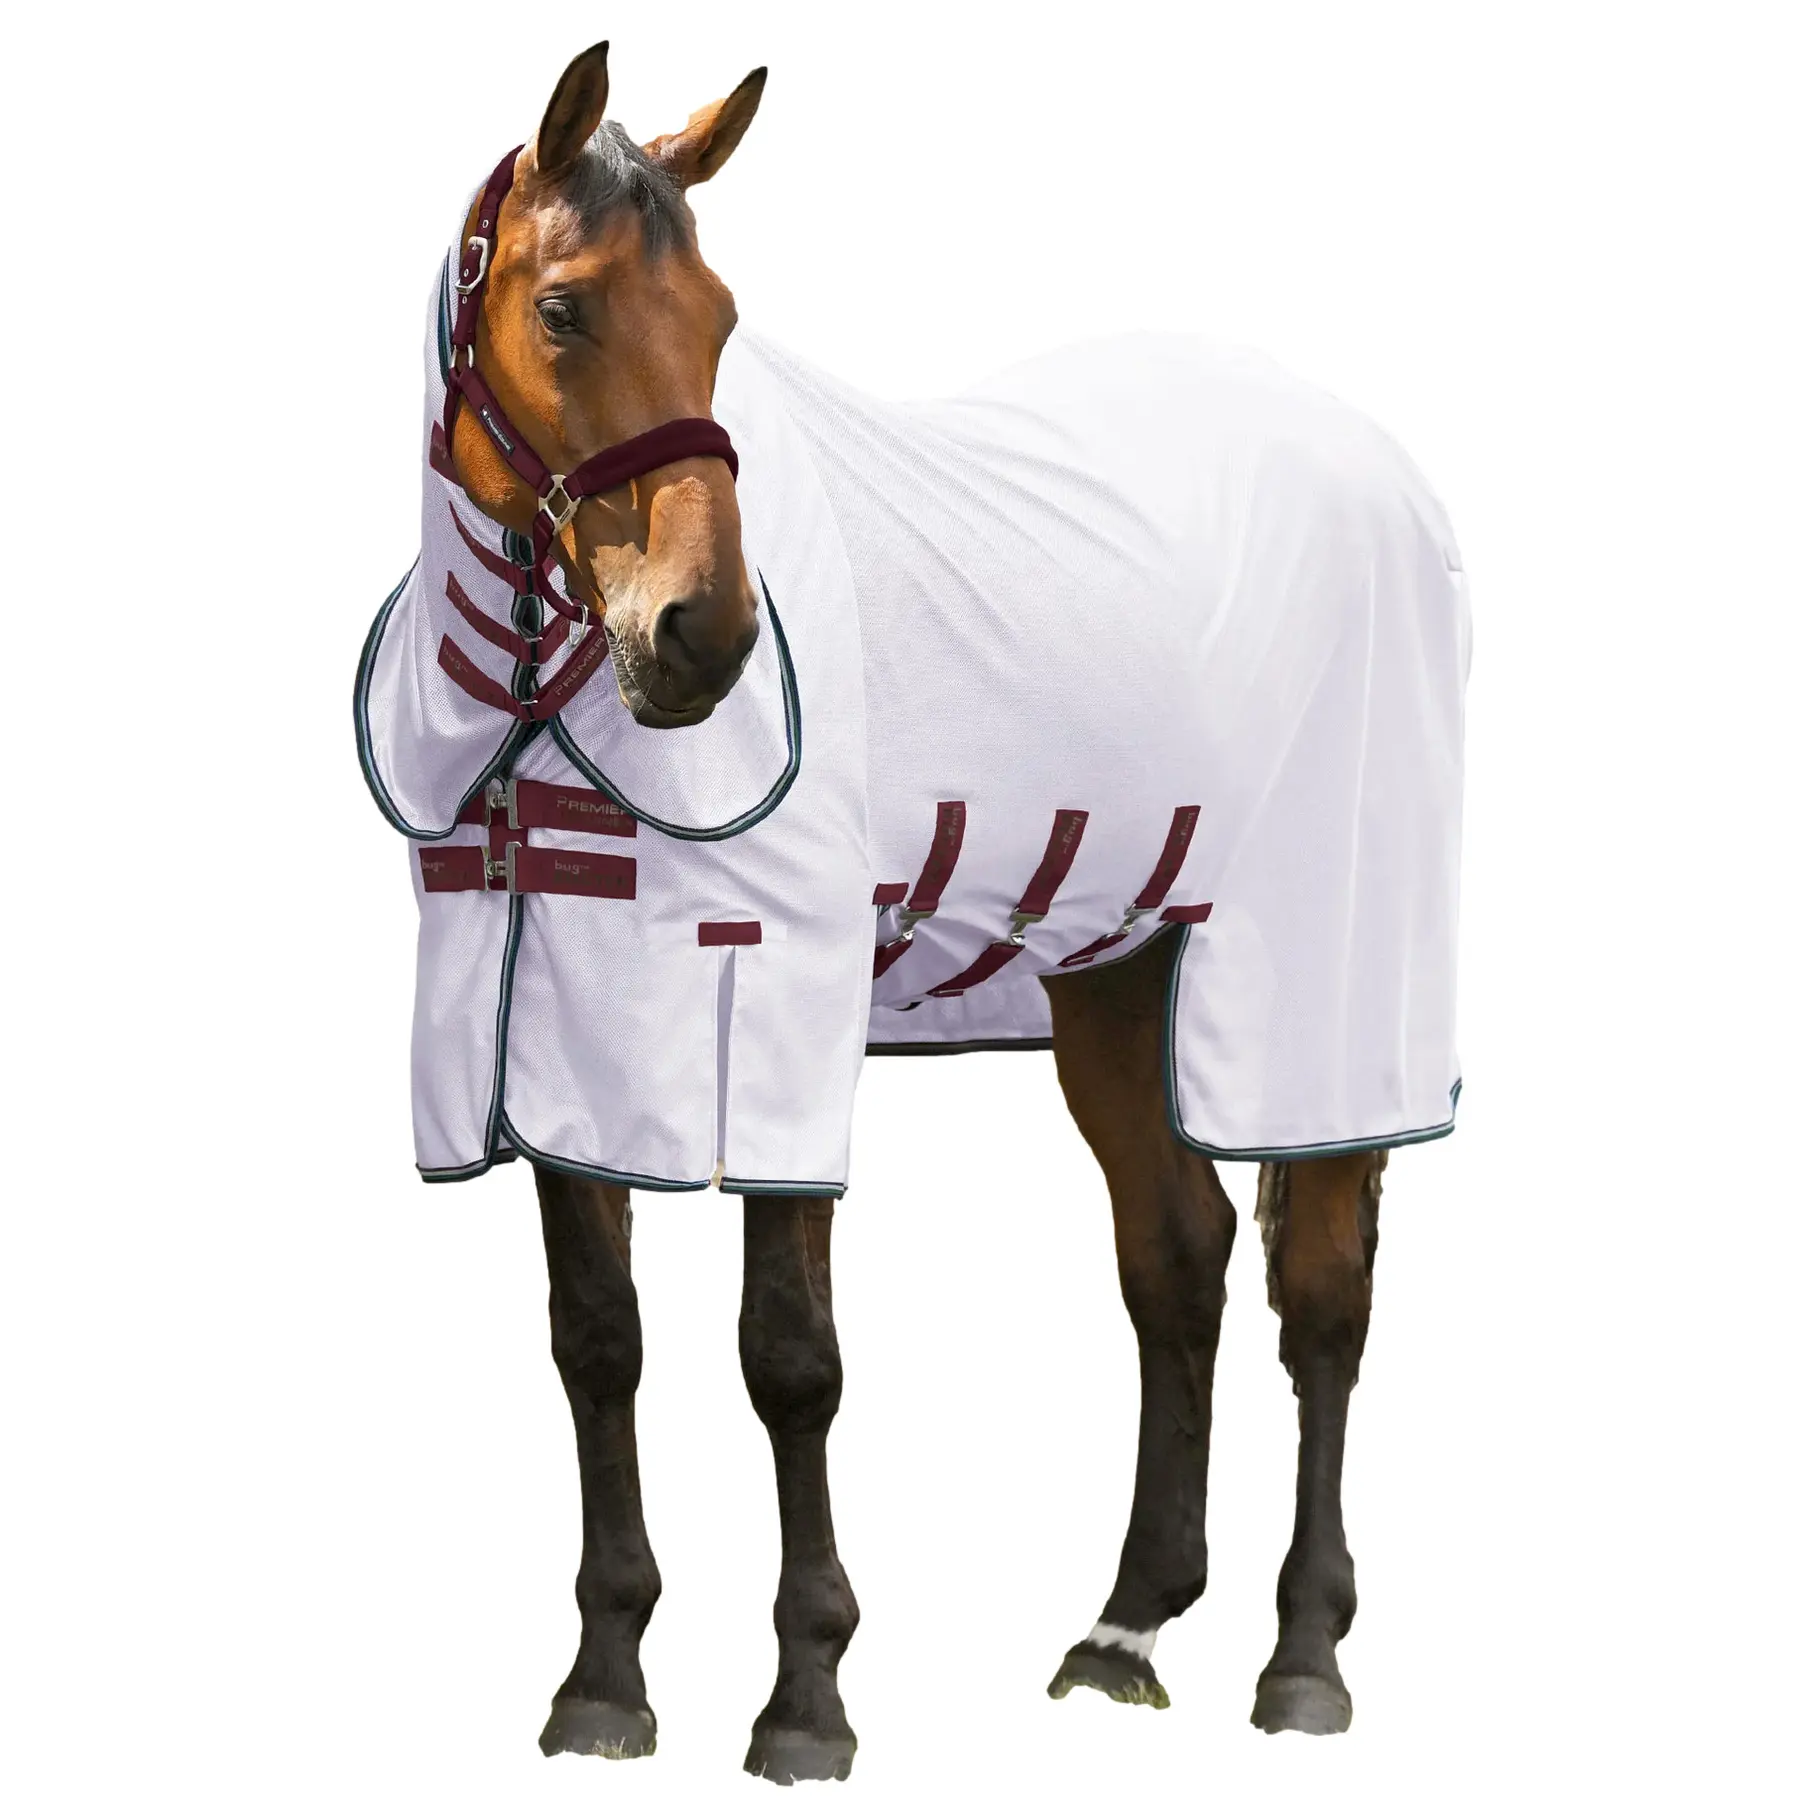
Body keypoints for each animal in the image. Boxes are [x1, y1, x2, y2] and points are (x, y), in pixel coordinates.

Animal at [357, 41, 1470, 1784]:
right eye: (564, 308)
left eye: (722, 318)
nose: (702, 639)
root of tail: (1376, 469)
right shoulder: (557, 1039)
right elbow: (598, 1340)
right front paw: (604, 1686)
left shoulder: (770, 1013)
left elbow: (789, 1361)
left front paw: (806, 1701)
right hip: (1113, 976)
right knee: (1178, 1257)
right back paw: (1125, 1629)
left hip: (1325, 982)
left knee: (1323, 1300)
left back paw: (1303, 1660)